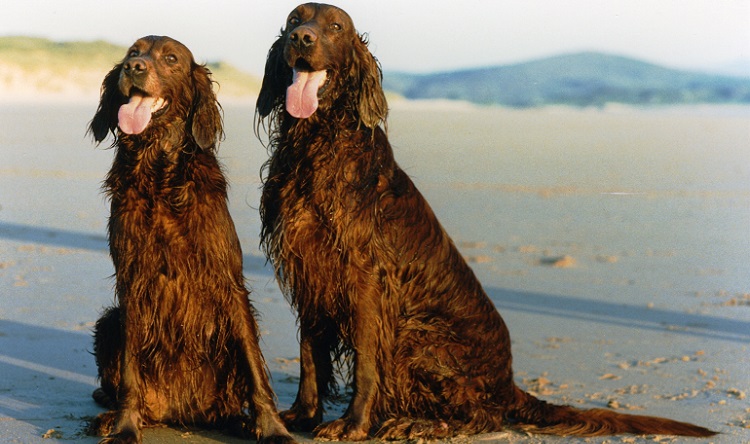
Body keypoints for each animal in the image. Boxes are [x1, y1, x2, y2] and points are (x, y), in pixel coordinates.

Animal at [89, 35, 296, 444]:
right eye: (132, 52)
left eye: (171, 58)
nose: (133, 68)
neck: (159, 176)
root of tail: (179, 412)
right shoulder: (132, 282)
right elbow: (130, 370)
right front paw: (124, 426)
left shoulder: (228, 282)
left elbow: (255, 369)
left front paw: (272, 428)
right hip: (109, 321)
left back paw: (241, 420)